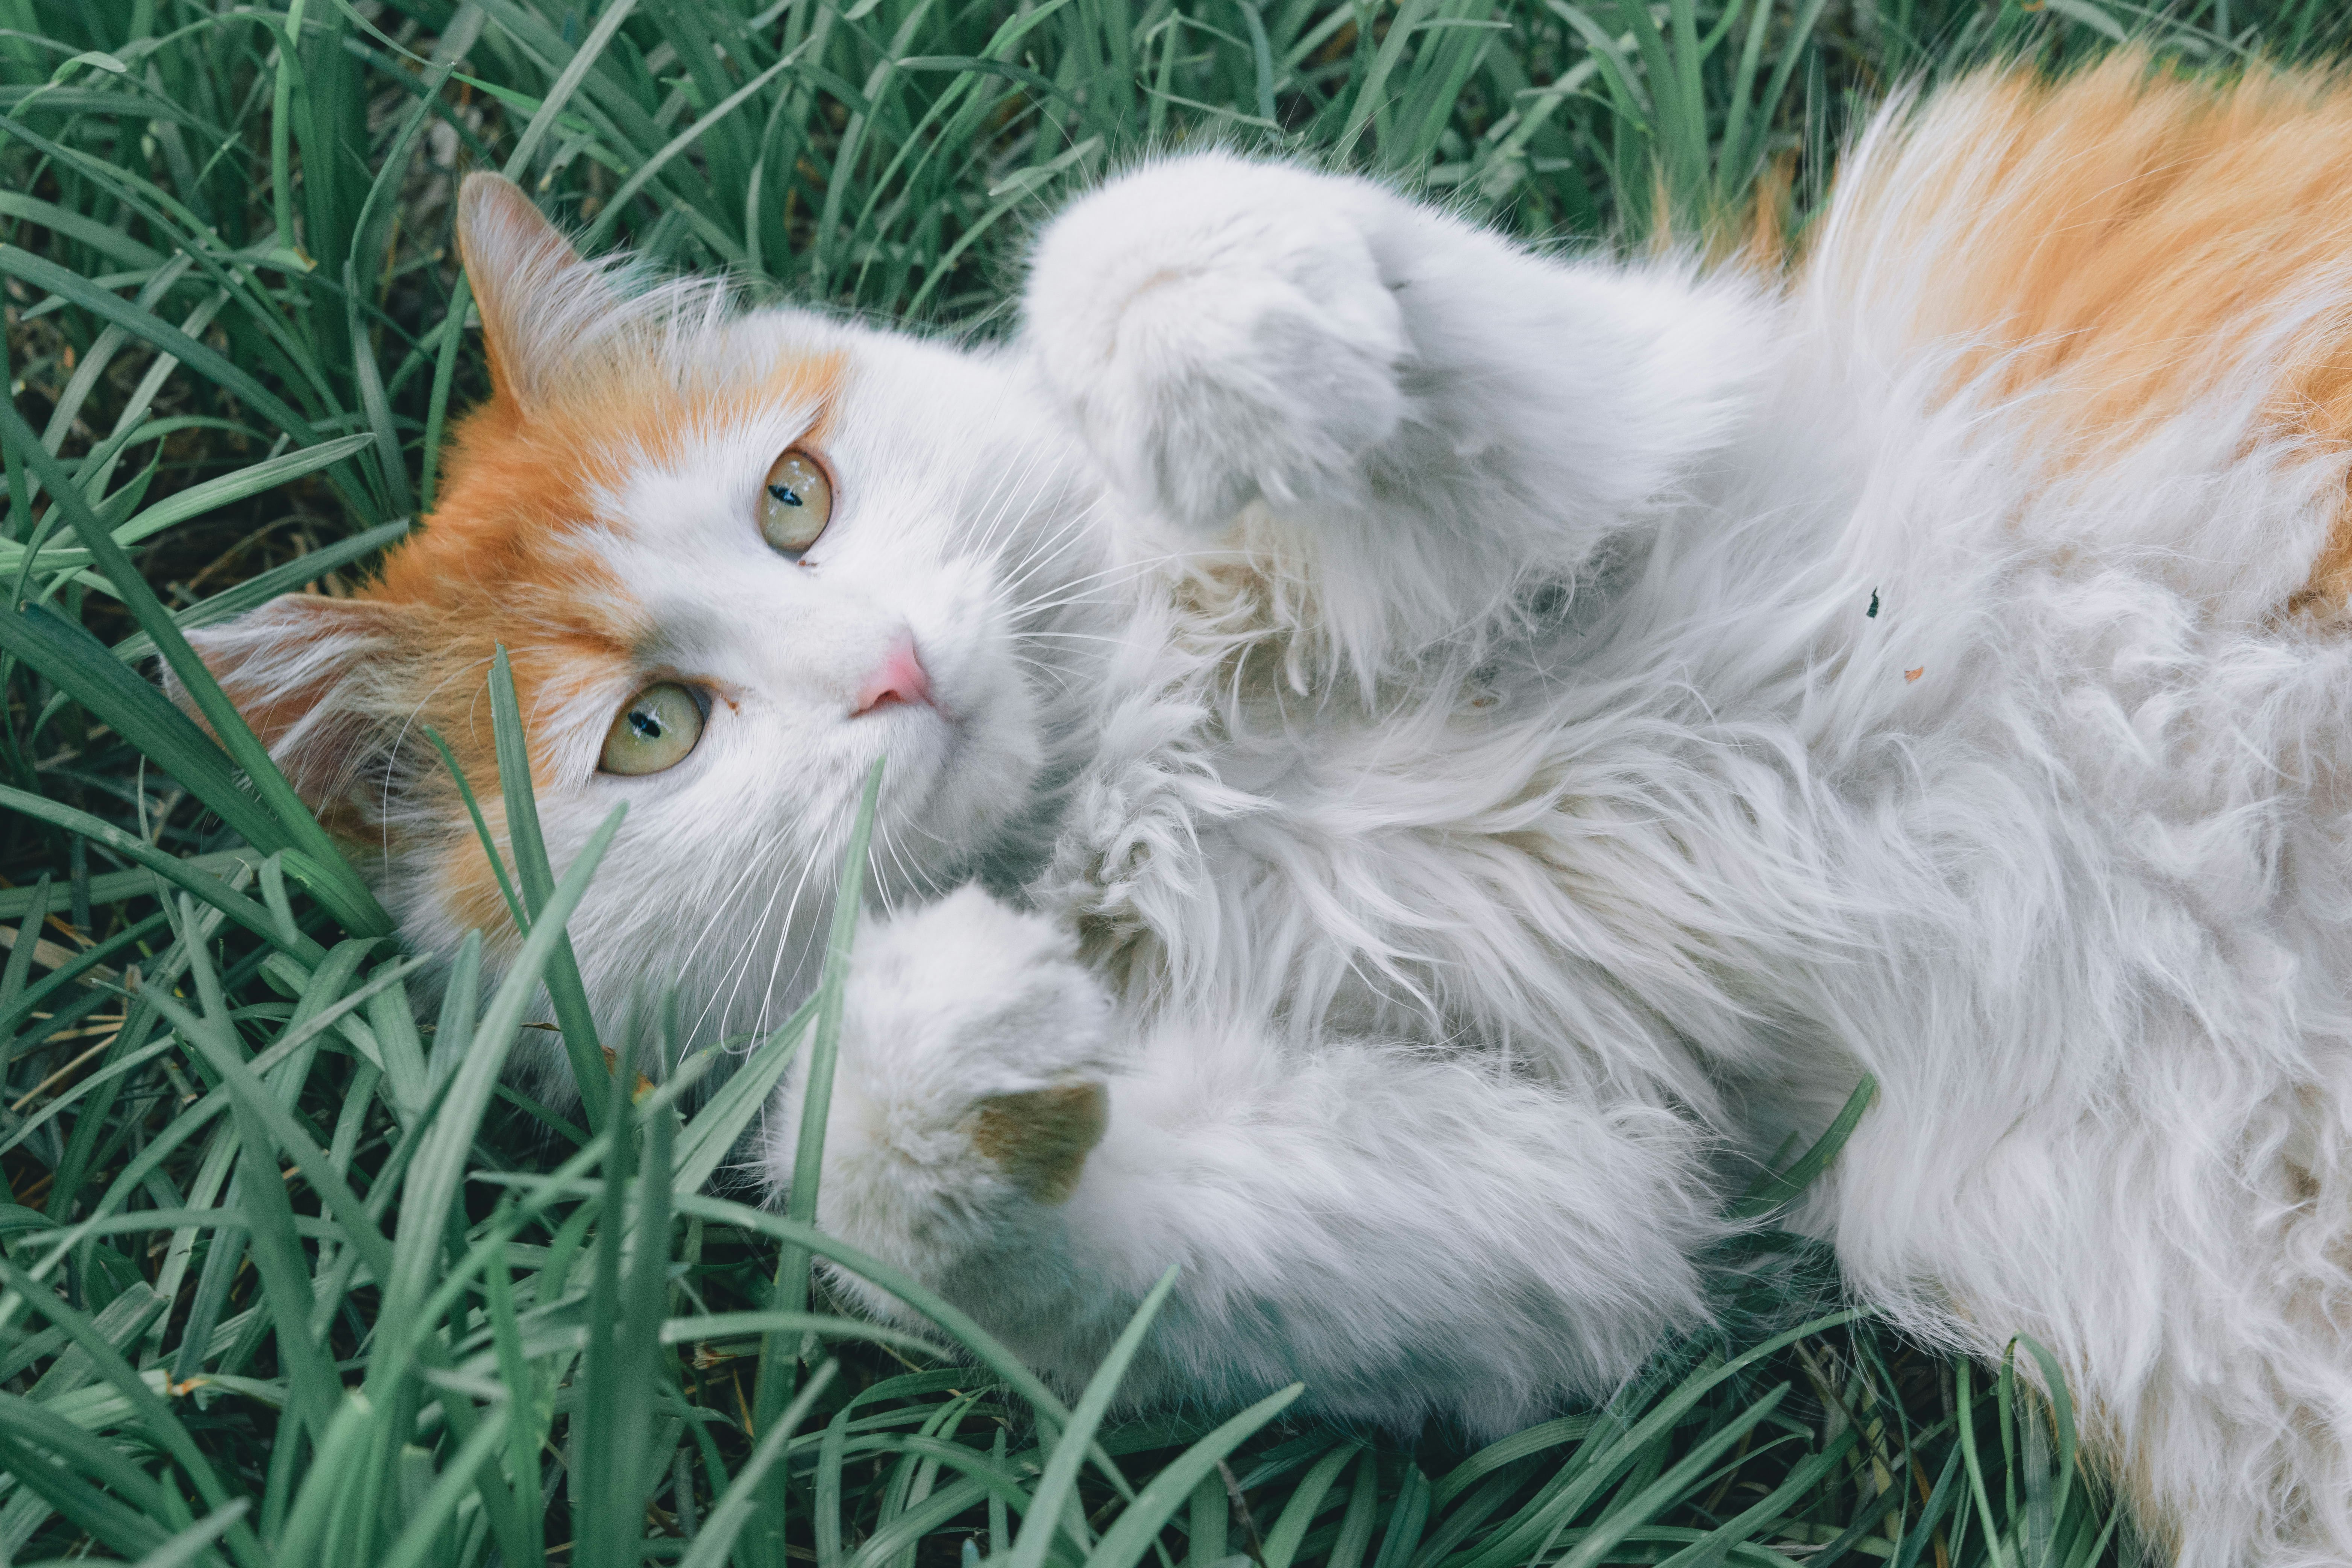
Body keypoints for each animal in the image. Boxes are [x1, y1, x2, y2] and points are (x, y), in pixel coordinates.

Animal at [188, 58, 2352, 1568]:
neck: (1132, 777)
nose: (887, 671)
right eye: (652, 732)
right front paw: (944, 1043)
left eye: (793, 496)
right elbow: (939, 1186)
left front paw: (1200, 341)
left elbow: (1145, 232)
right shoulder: (1587, 1192)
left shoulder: (1660, 422)